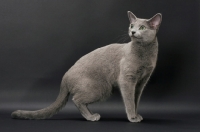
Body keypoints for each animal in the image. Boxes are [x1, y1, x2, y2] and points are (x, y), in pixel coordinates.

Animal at [10, 11, 162, 122]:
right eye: (131, 26)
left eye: (142, 27)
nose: (133, 32)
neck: (144, 53)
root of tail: (65, 77)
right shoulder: (127, 79)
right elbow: (129, 100)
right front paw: (132, 117)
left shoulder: (141, 82)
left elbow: (136, 100)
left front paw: (137, 115)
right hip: (101, 88)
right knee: (76, 99)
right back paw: (91, 117)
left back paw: (93, 114)